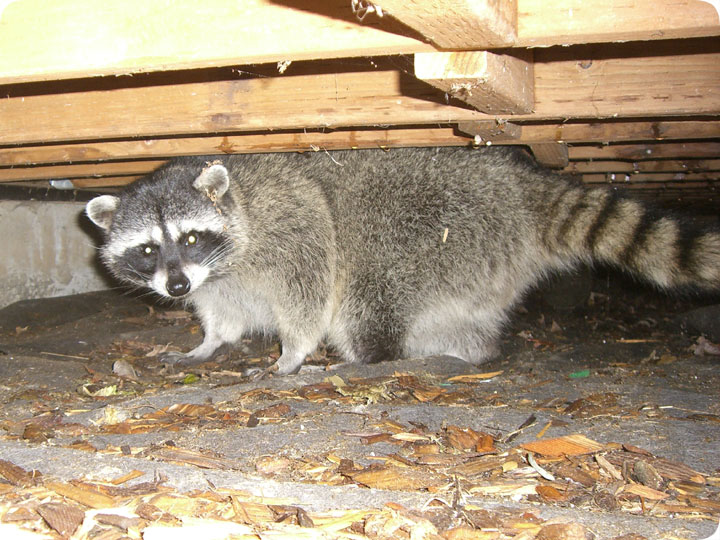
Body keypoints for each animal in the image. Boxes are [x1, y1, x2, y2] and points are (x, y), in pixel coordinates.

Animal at [86, 148, 720, 376]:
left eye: (190, 237)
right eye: (148, 250)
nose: (173, 287)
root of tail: (514, 185)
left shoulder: (293, 229)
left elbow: (311, 289)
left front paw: (293, 352)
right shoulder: (216, 281)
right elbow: (222, 311)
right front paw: (209, 342)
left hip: (427, 230)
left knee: (364, 299)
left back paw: (371, 357)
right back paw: (462, 350)